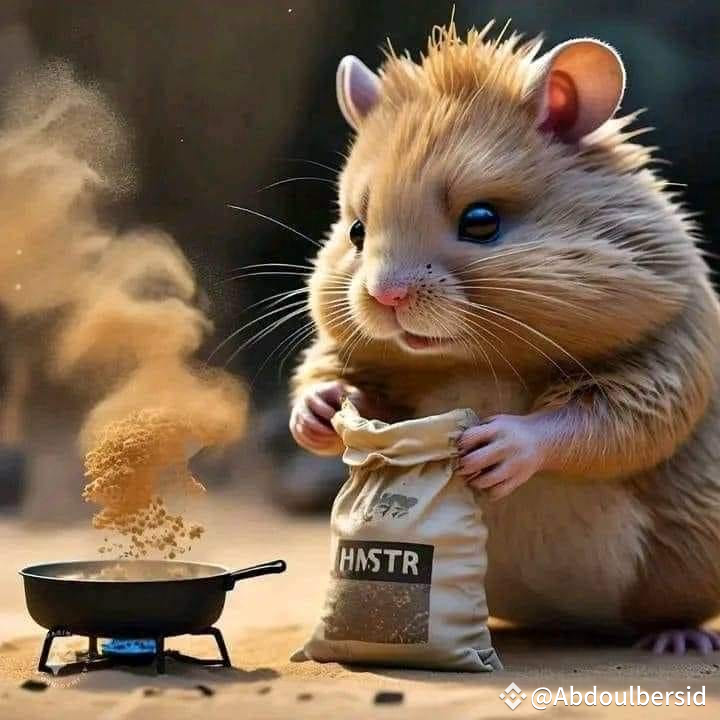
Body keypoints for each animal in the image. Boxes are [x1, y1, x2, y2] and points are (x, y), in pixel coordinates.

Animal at [289, 21, 720, 654]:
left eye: (482, 221)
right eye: (356, 231)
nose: (386, 298)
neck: (473, 360)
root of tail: (569, 619)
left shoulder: (667, 348)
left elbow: (608, 421)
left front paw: (492, 451)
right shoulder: (350, 356)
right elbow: (333, 380)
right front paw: (319, 411)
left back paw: (676, 639)